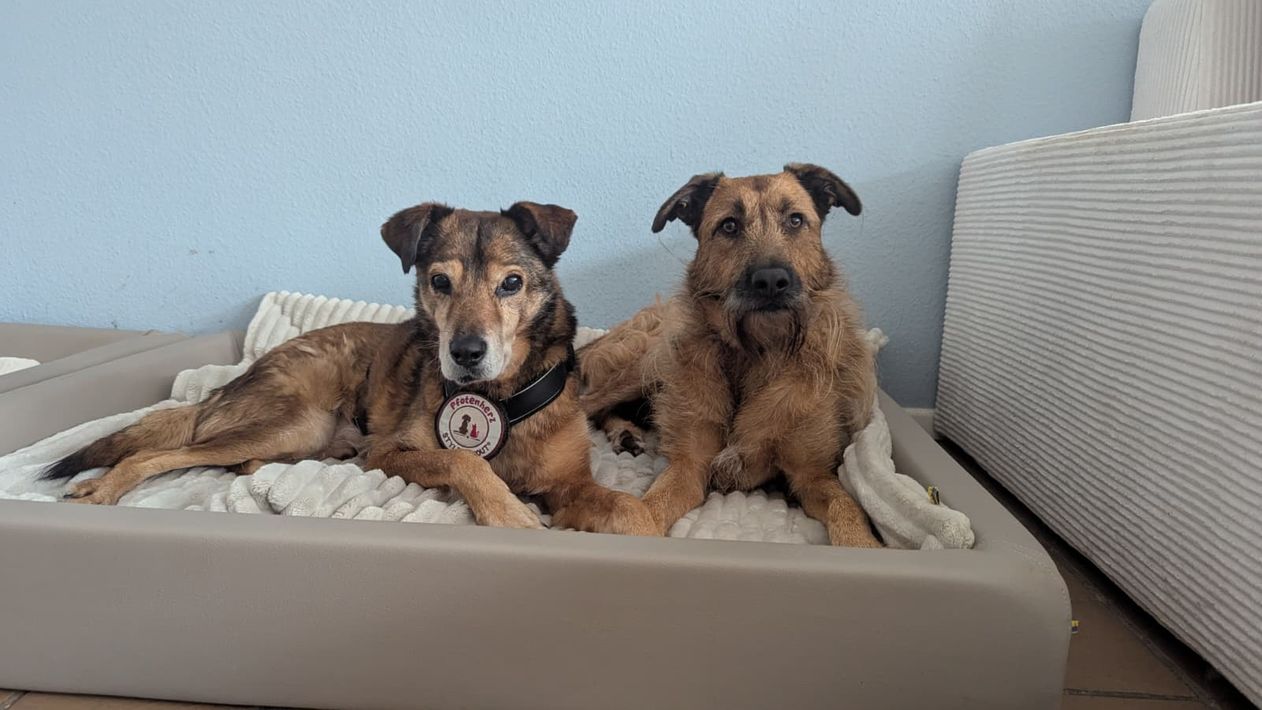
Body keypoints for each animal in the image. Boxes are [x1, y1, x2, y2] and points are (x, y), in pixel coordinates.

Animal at [43, 200, 656, 536]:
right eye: (440, 281)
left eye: (512, 283)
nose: (464, 353)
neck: (500, 397)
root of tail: (227, 385)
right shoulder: (393, 452)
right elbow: (463, 463)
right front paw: (508, 512)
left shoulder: (572, 482)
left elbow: (630, 512)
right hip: (293, 419)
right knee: (155, 454)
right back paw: (103, 489)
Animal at [577, 164, 882, 547]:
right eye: (729, 226)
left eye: (796, 220)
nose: (771, 280)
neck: (755, 353)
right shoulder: (688, 466)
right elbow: (648, 510)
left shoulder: (813, 475)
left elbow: (848, 510)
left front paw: (863, 543)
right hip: (644, 364)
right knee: (585, 405)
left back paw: (626, 434)